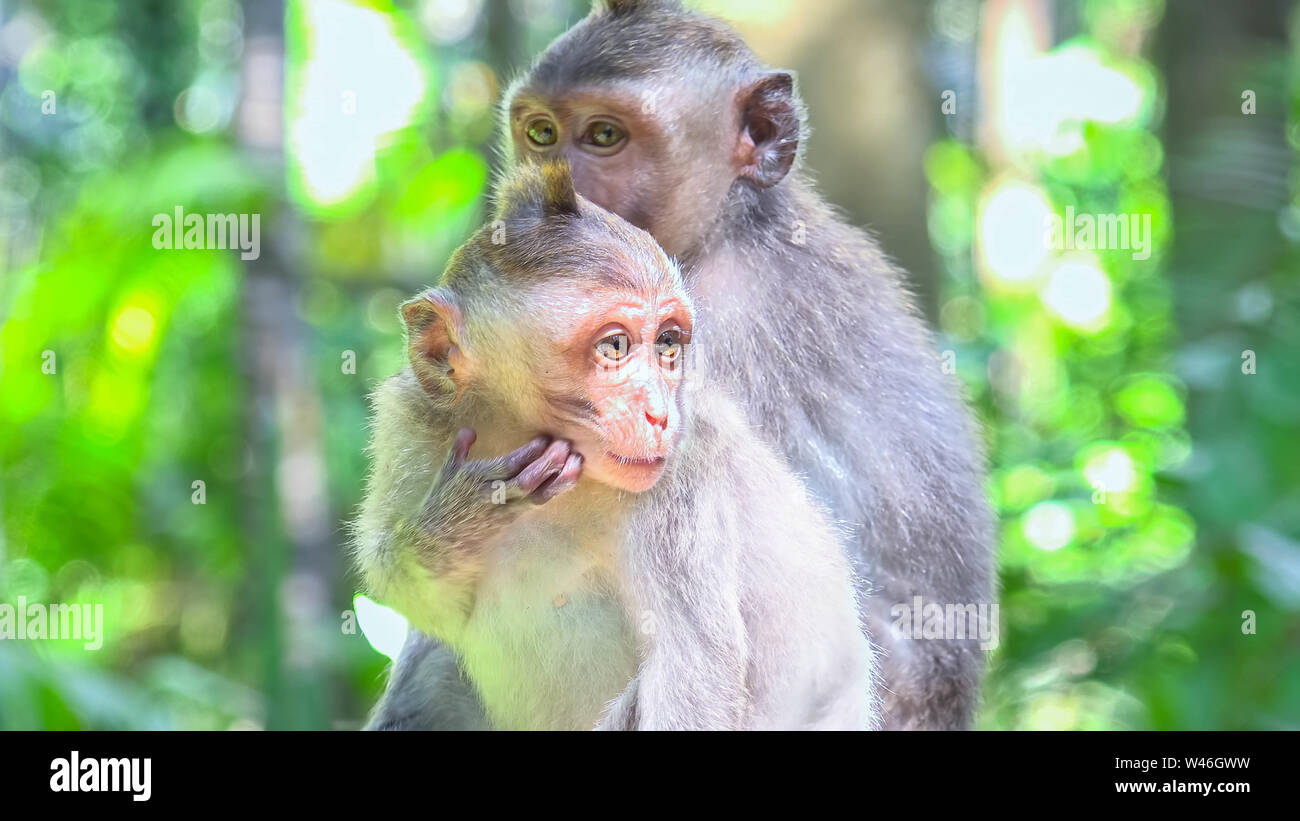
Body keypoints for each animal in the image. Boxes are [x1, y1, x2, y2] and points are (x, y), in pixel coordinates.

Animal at [356, 161, 873, 732]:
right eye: (616, 345)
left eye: (668, 343)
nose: (660, 414)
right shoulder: (409, 417)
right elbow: (411, 592)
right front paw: (466, 512)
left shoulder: (684, 472)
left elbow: (691, 671)